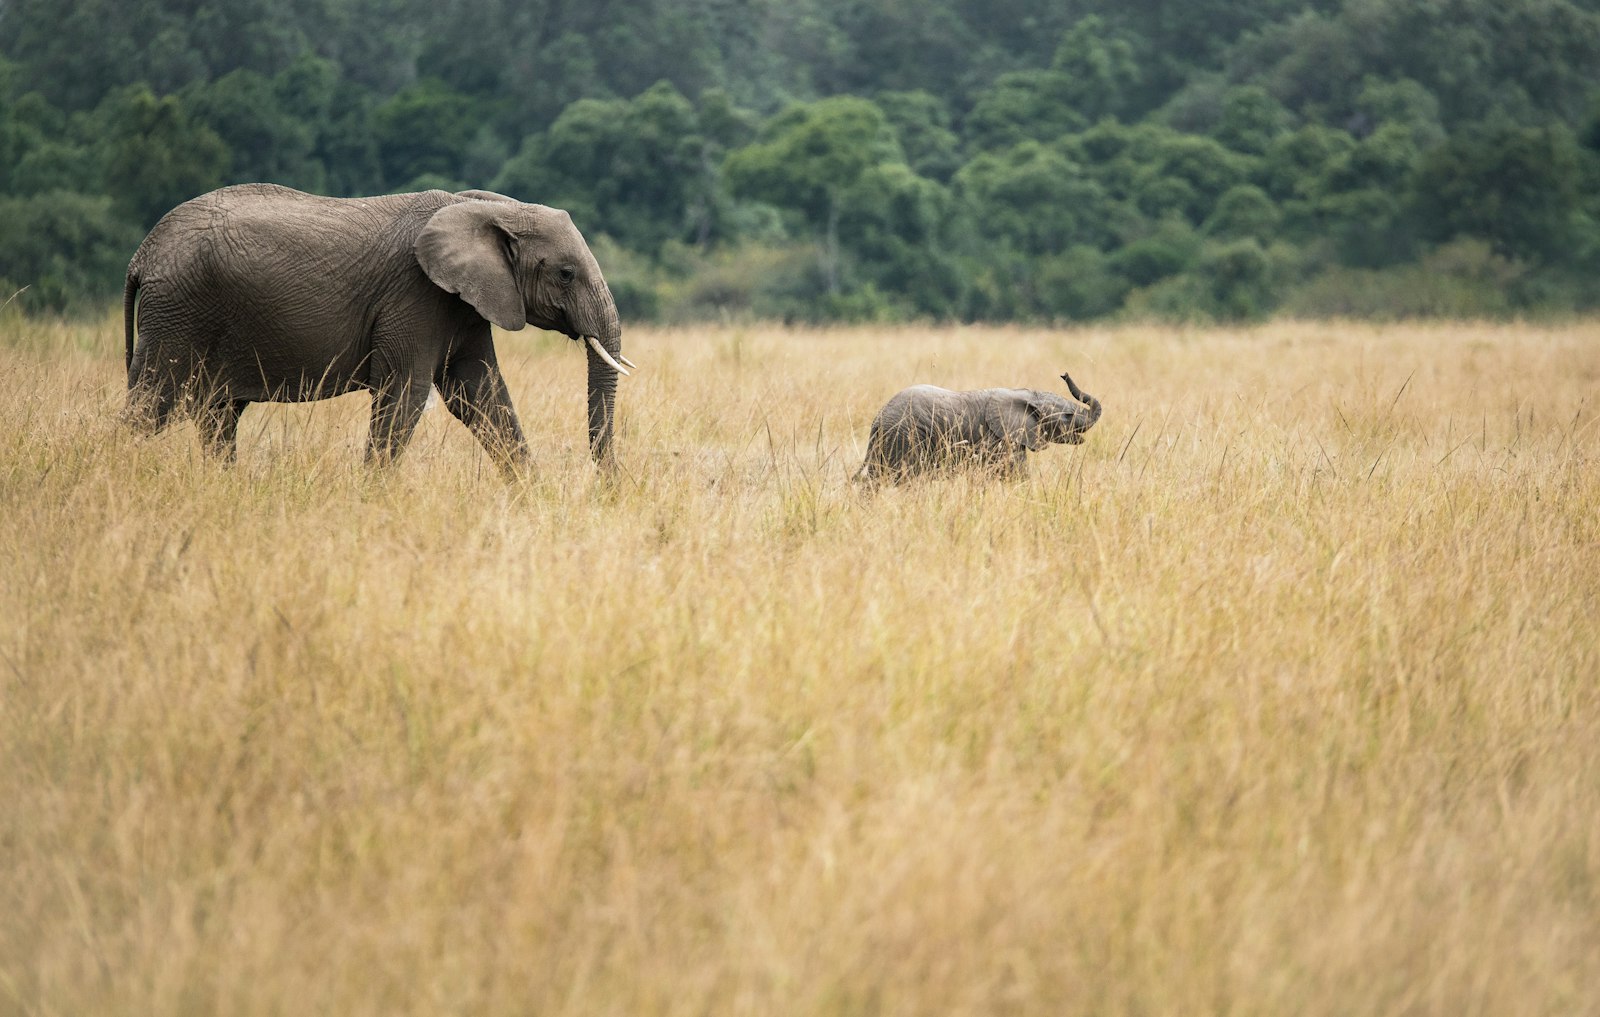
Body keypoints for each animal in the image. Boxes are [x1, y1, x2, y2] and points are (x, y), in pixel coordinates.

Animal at [120, 184, 630, 470]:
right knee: (150, 405)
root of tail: (141, 255)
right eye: (566, 273)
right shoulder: (415, 296)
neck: (485, 207)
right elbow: (405, 393)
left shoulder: (462, 303)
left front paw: (530, 496)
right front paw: (371, 498)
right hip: (179, 312)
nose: (605, 489)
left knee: (218, 415)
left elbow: (480, 396)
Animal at [857, 374, 1107, 486]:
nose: (1064, 375)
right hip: (905, 436)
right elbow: (1015, 475)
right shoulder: (999, 440)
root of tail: (878, 419)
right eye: (1068, 416)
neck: (1025, 394)